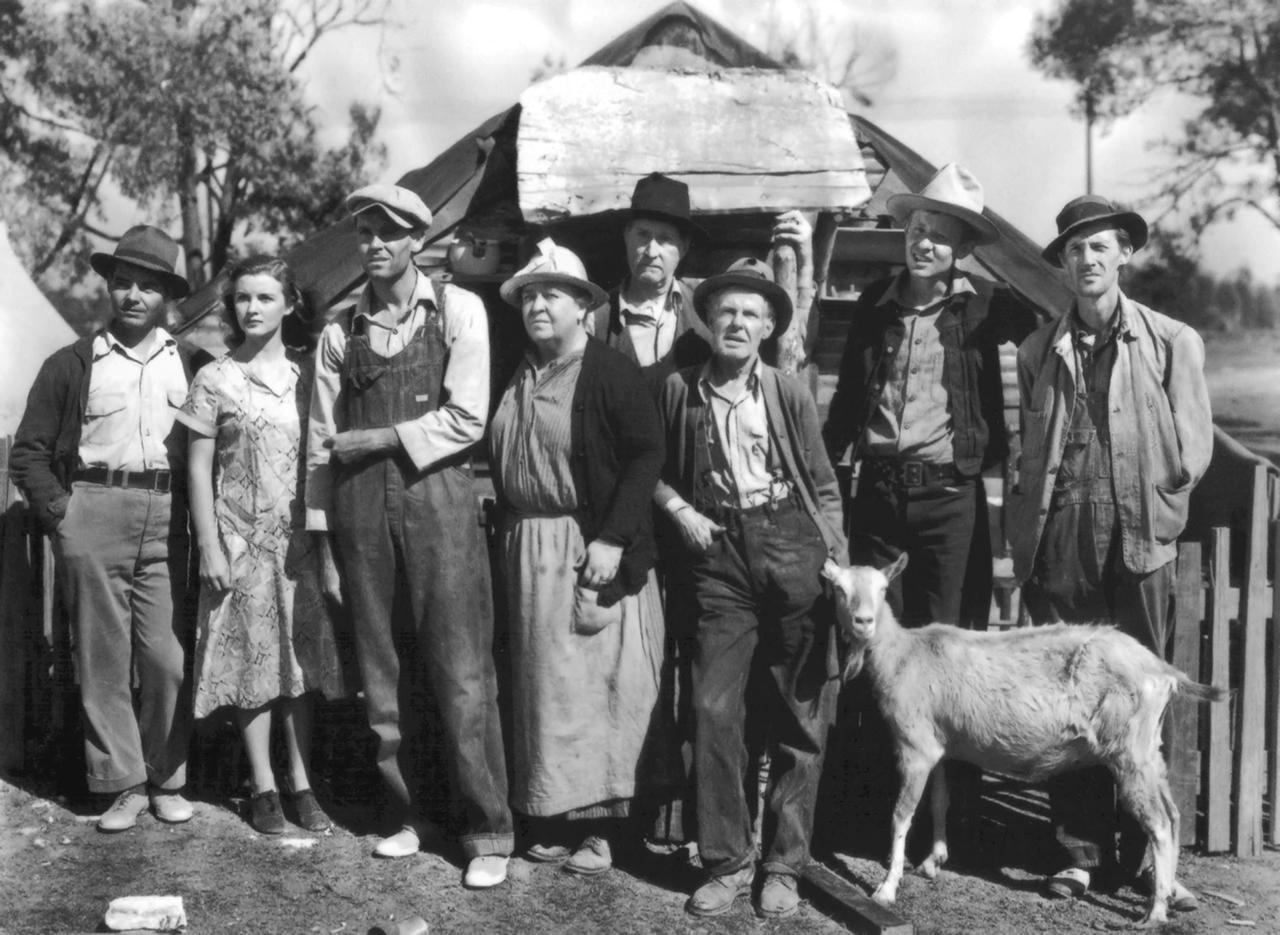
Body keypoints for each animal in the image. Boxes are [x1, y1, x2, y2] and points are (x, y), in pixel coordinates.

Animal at [819, 553, 1228, 927]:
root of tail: (1163, 670)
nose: (864, 622)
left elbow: (901, 814)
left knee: (1158, 825)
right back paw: (1169, 893)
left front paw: (886, 888)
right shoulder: (940, 745)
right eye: (840, 589)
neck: (903, 653)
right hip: (1148, 749)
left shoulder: (914, 746)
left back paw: (1154, 913)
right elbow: (939, 801)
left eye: (882, 589)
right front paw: (933, 861)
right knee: (1172, 815)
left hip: (1129, 751)